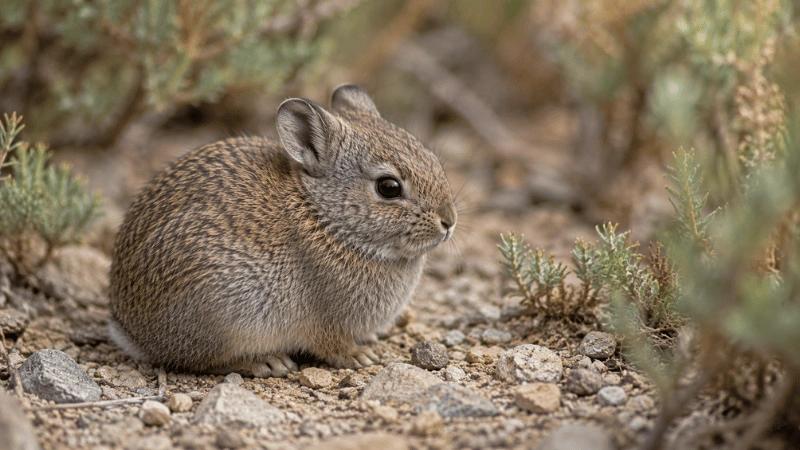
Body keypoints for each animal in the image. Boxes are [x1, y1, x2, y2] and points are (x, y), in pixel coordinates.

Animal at [108, 85, 457, 377]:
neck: (328, 219)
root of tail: (132, 333)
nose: (449, 221)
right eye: (388, 187)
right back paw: (265, 362)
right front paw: (361, 357)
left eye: (432, 158)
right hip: (224, 311)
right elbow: (333, 346)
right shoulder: (327, 323)